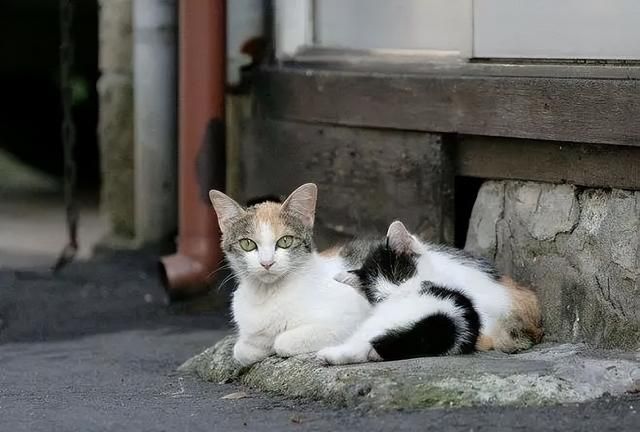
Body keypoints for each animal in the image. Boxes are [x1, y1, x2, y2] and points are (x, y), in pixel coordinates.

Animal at [209, 184, 370, 366]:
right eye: (247, 244)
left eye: (285, 241)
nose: (267, 263)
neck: (268, 294)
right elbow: (241, 350)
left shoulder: (346, 320)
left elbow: (282, 342)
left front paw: (273, 342)